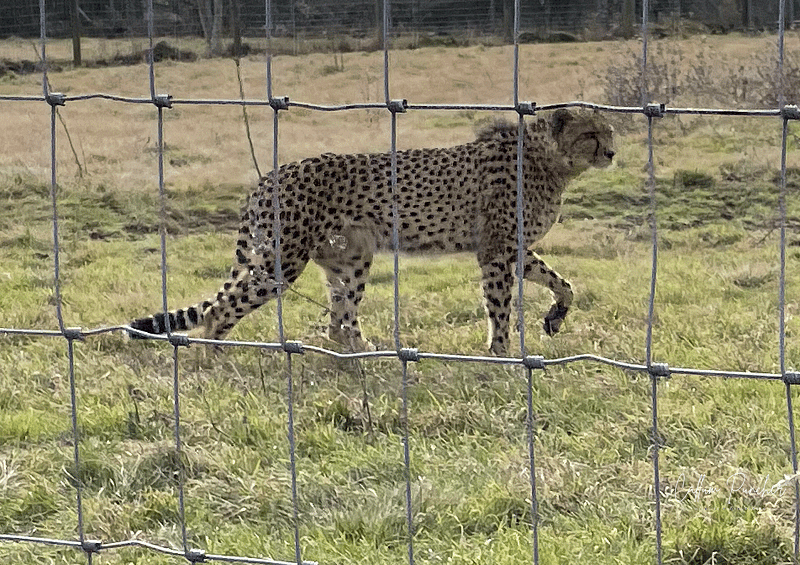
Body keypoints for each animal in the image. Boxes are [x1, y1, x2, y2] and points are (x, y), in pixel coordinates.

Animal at [129, 108, 614, 356]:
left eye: (610, 131)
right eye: (591, 134)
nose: (611, 153)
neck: (547, 159)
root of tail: (271, 175)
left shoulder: (511, 247)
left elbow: (562, 282)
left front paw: (555, 317)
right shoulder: (495, 249)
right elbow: (500, 307)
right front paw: (502, 355)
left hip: (350, 257)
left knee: (339, 322)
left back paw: (367, 355)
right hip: (281, 262)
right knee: (221, 310)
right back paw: (213, 357)